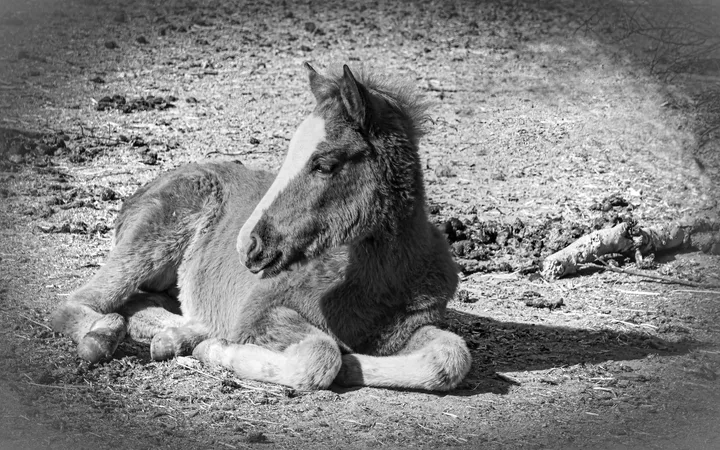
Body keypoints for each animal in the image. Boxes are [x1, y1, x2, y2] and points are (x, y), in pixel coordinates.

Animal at [50, 63, 472, 391]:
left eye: (325, 164)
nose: (247, 246)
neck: (372, 283)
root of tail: (137, 195)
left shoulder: (415, 325)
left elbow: (451, 356)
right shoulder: (262, 310)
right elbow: (321, 355)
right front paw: (218, 350)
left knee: (142, 303)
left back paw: (177, 337)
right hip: (152, 239)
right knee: (76, 303)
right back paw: (105, 337)